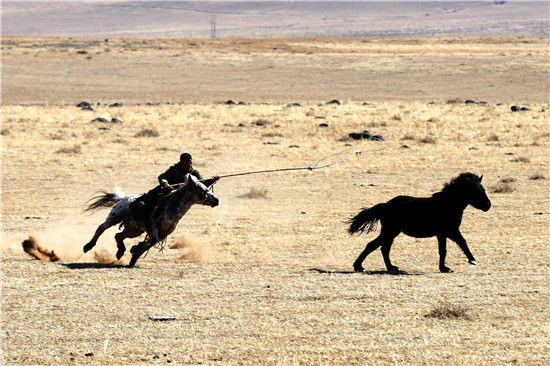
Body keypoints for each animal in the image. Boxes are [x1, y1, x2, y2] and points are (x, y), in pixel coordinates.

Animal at [83, 174, 219, 266]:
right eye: (200, 188)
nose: (216, 200)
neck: (170, 206)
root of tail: (123, 198)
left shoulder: (163, 233)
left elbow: (150, 243)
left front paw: (135, 254)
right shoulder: (152, 226)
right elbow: (151, 240)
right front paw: (135, 250)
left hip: (134, 229)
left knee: (118, 236)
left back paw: (120, 252)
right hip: (115, 216)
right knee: (101, 228)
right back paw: (88, 246)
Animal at [350, 173, 492, 274]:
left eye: (483, 189)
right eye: (476, 191)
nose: (488, 205)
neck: (448, 204)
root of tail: (385, 205)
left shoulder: (442, 234)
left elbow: (443, 250)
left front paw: (444, 268)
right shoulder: (451, 231)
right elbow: (462, 242)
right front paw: (472, 260)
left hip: (392, 232)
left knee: (382, 248)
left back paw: (389, 267)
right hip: (390, 231)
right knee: (374, 246)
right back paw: (360, 267)